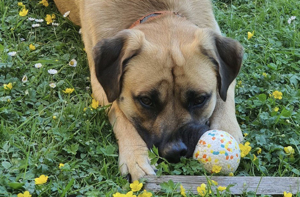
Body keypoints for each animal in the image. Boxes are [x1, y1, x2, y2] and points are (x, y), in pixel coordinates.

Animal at [54, 0, 244, 181]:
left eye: (199, 99)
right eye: (146, 100)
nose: (175, 152)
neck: (157, 10)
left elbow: (225, 95)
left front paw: (228, 129)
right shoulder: (102, 85)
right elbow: (120, 113)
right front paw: (136, 156)